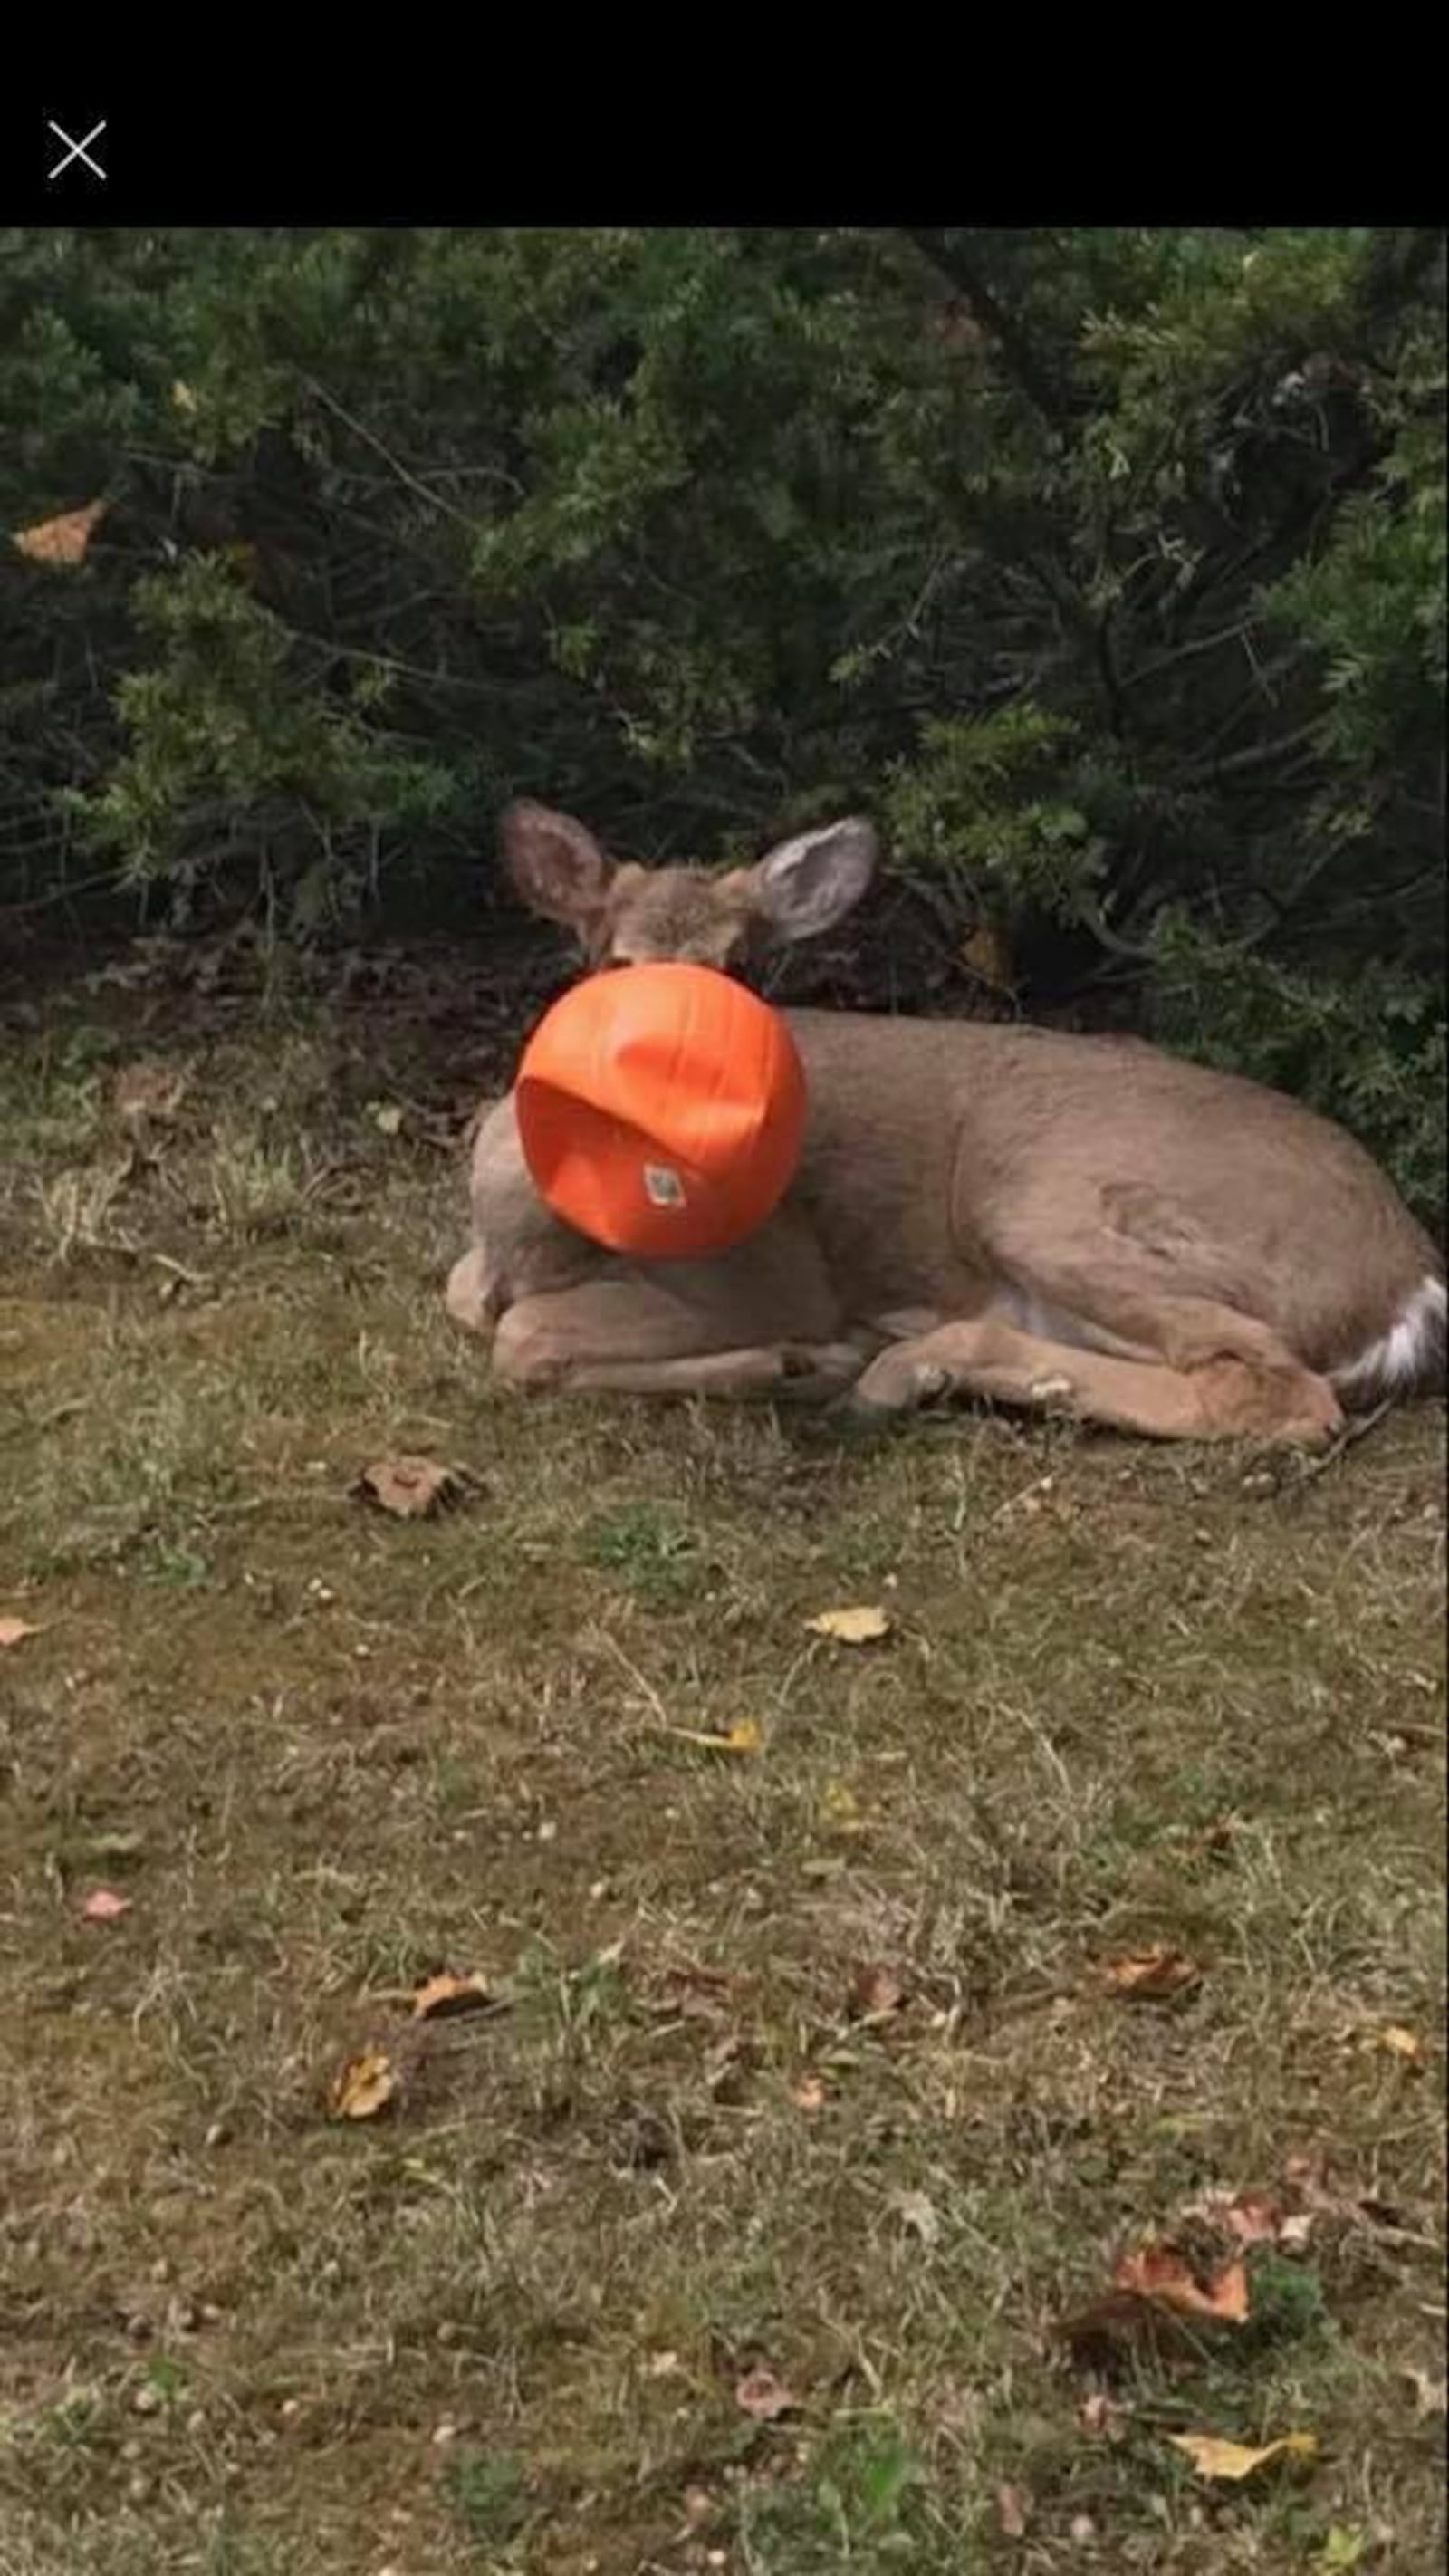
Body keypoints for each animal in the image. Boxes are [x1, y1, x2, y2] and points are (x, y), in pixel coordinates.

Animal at [447, 803, 1441, 1453]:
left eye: (741, 967)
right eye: (616, 963)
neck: (542, 1234)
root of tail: (1410, 1281)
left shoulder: (773, 1270)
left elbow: (521, 1338)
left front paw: (790, 1361)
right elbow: (471, 1303)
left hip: (1051, 1203)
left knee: (1278, 1392)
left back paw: (880, 1370)